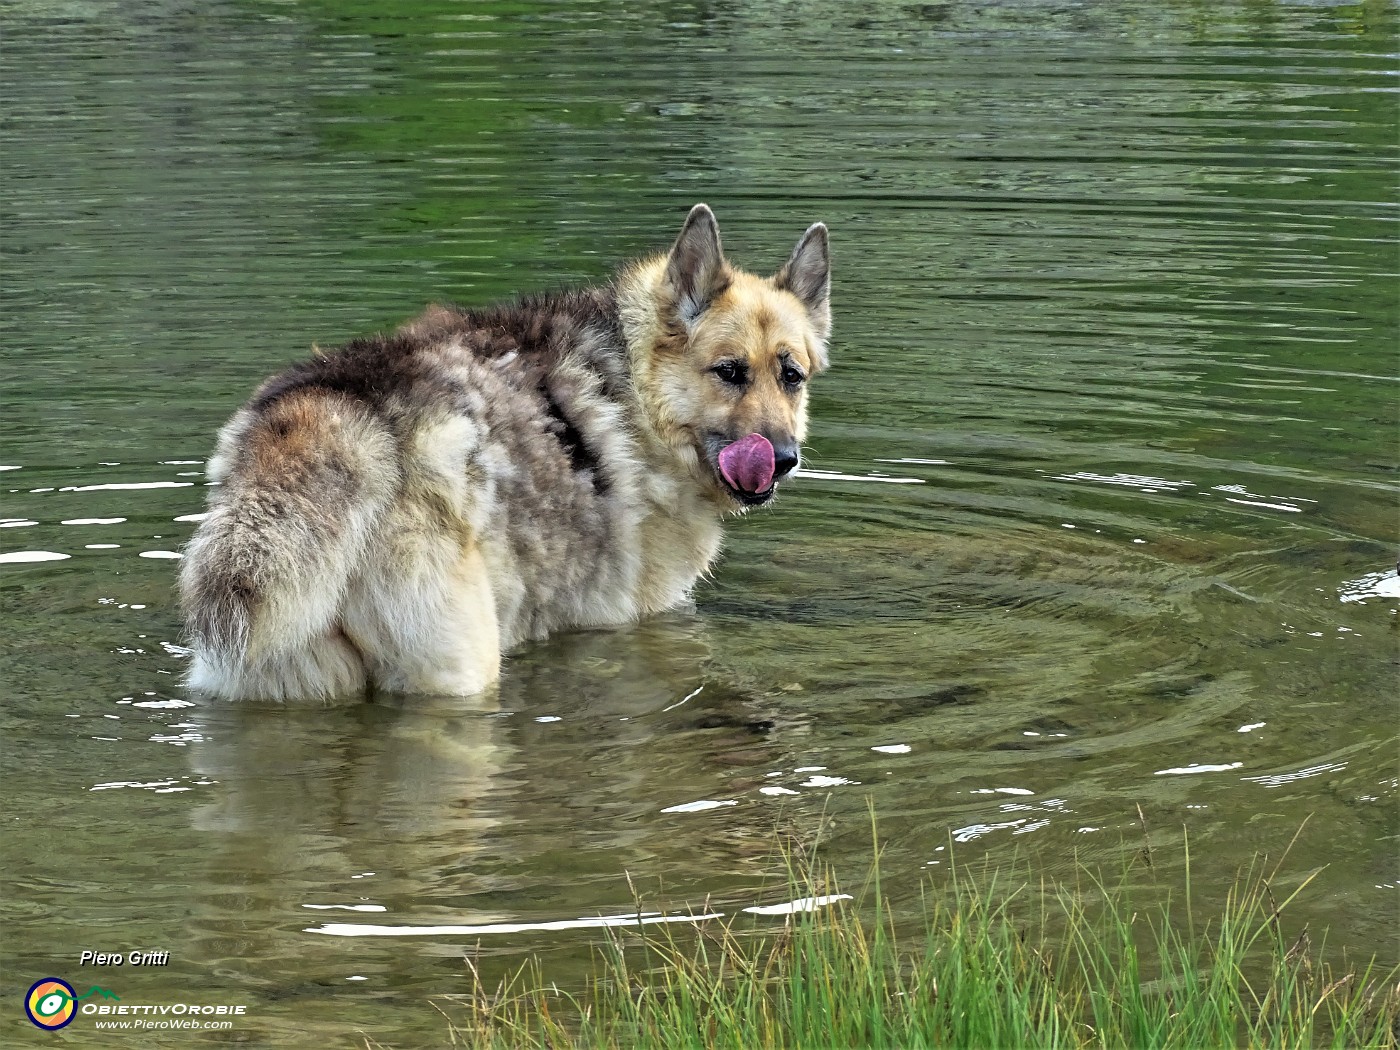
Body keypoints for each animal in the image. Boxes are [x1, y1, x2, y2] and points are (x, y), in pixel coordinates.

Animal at [179, 203, 823, 700]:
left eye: (791, 376)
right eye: (730, 372)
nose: (782, 458)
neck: (634, 385)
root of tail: (344, 404)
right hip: (459, 669)